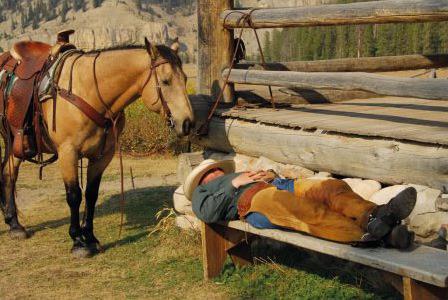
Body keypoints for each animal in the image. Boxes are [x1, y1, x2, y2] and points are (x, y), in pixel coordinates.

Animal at [0, 33, 194, 258]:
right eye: (165, 81)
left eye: (185, 78)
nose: (187, 123)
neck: (90, 91)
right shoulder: (68, 153)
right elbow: (74, 195)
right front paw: (78, 241)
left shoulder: (102, 156)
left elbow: (91, 194)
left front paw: (90, 238)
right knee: (9, 175)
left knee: (7, 173)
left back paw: (13, 223)